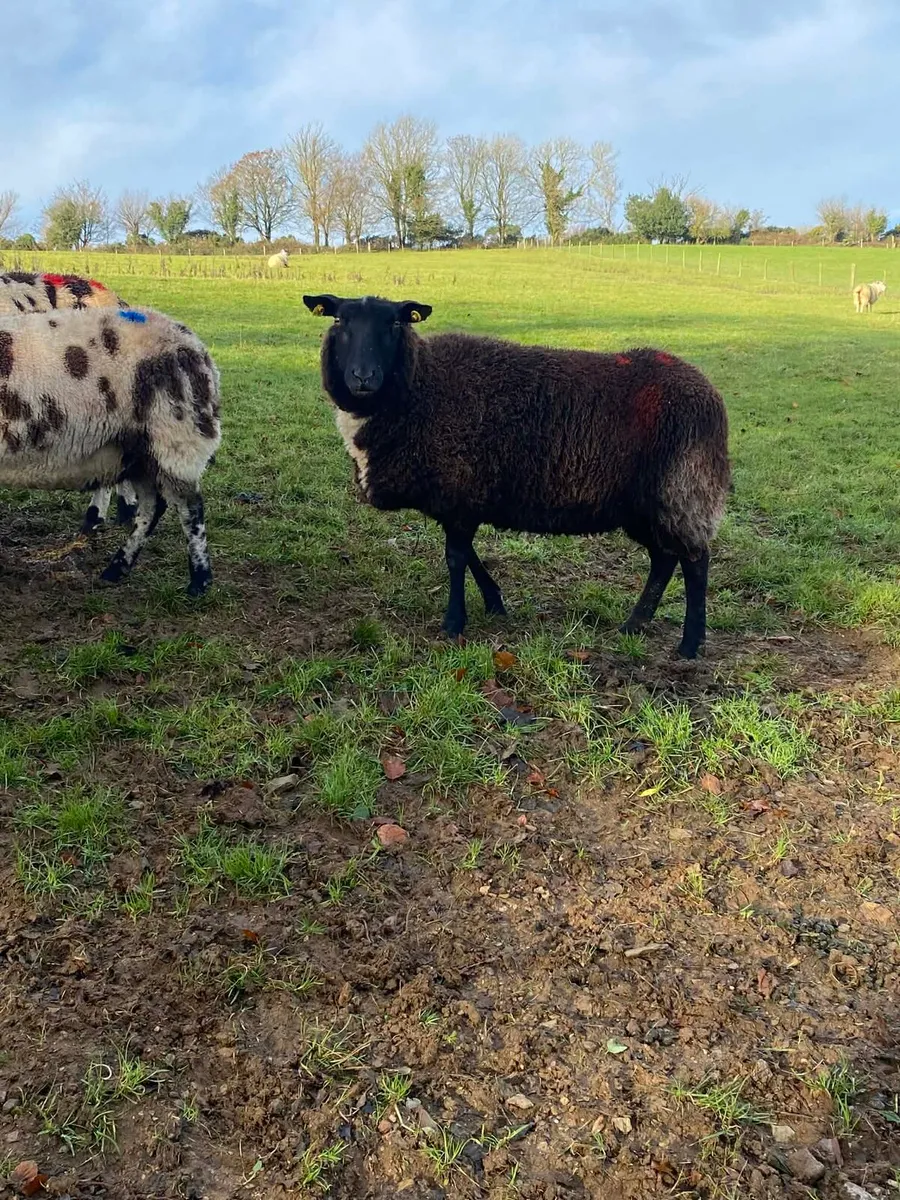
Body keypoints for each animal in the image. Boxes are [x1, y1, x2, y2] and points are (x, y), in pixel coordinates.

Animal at [0, 304, 220, 595]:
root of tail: (197, 346)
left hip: (174, 437)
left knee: (190, 509)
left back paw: (199, 580)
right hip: (138, 451)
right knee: (152, 507)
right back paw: (117, 568)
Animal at [304, 293, 730, 658]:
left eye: (394, 323)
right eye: (339, 320)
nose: (363, 376)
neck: (420, 386)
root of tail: (709, 391)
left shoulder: (461, 493)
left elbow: (455, 559)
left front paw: (454, 623)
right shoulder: (460, 498)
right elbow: (468, 556)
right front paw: (494, 602)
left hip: (682, 489)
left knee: (695, 561)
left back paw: (690, 644)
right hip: (645, 505)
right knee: (664, 558)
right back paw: (634, 625)